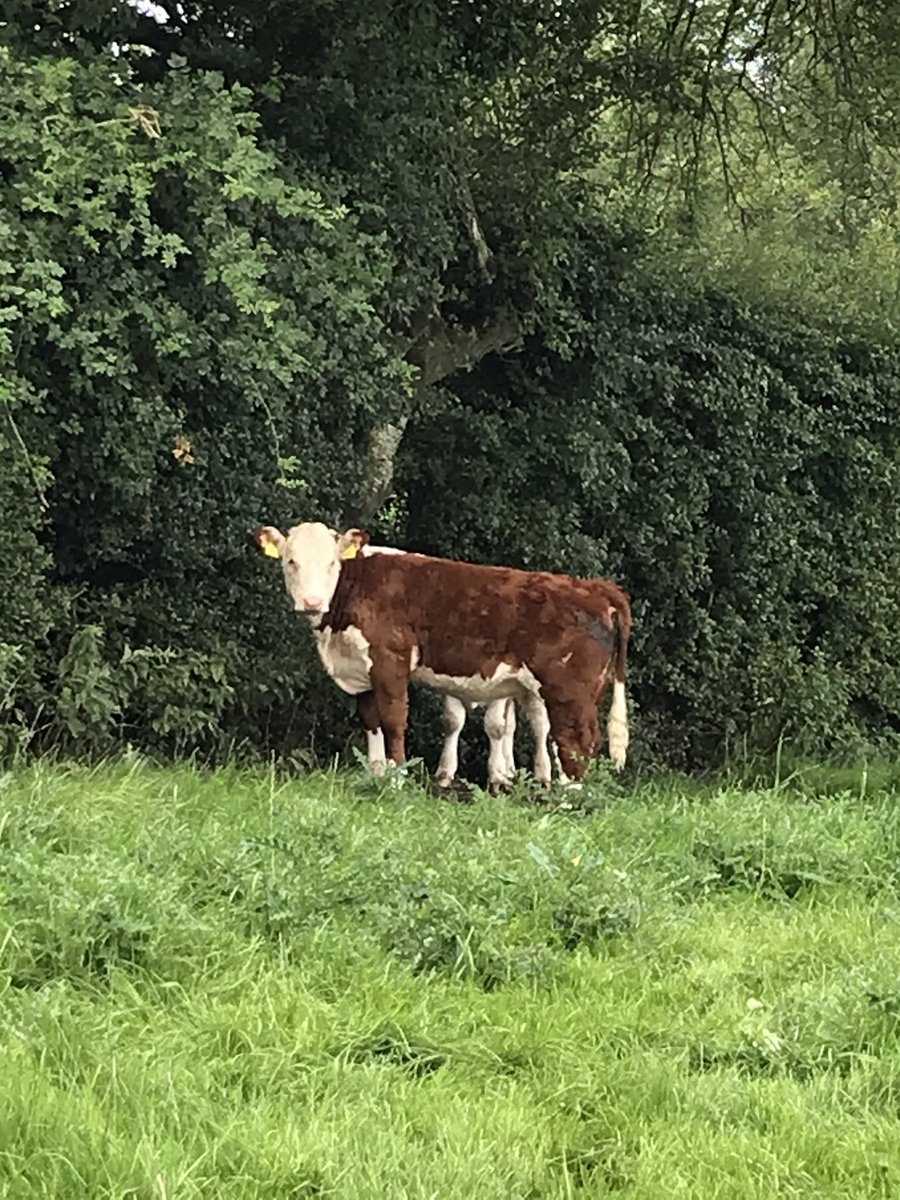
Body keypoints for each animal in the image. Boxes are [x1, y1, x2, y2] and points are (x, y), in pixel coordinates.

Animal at [255, 521, 630, 782]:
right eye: (290, 562)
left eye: (332, 563)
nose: (311, 602)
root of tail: (595, 587)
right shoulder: (362, 671)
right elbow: (372, 723)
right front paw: (375, 775)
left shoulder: (390, 660)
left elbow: (393, 720)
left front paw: (396, 780)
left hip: (568, 690)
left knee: (576, 741)